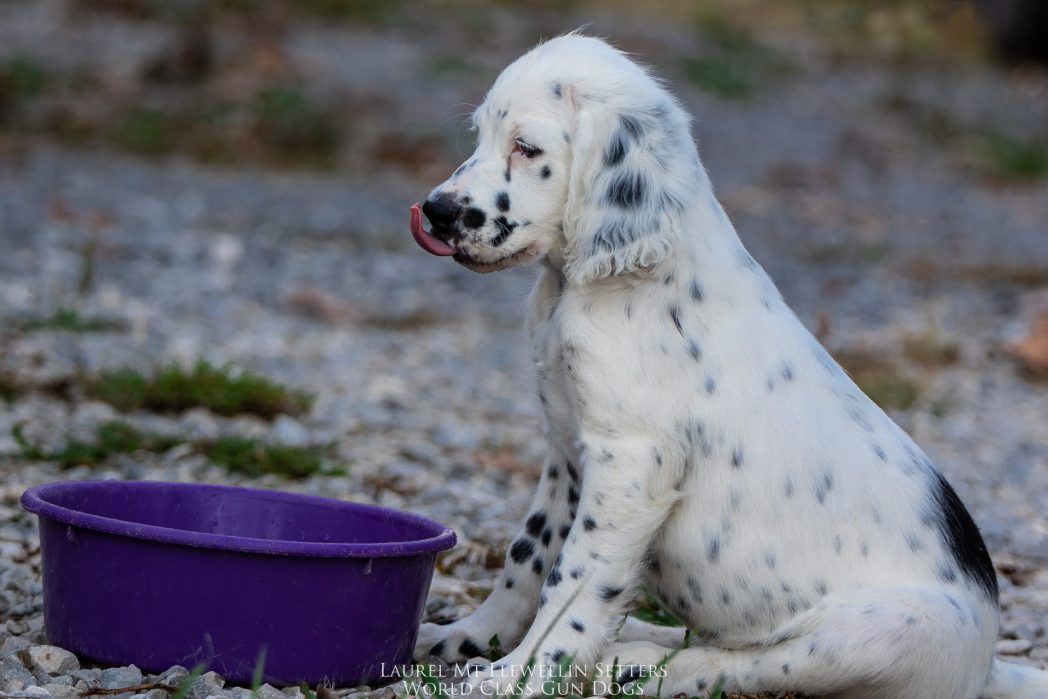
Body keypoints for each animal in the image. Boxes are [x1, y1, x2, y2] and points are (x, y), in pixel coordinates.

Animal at [404, 34, 1043, 699]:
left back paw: (631, 663)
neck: (595, 282)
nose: (436, 211)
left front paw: (522, 674)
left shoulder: (631, 462)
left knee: (740, 662)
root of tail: (989, 665)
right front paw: (468, 639)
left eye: (526, 147)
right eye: (479, 134)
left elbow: (575, 579)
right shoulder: (566, 447)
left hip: (886, 629)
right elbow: (529, 553)